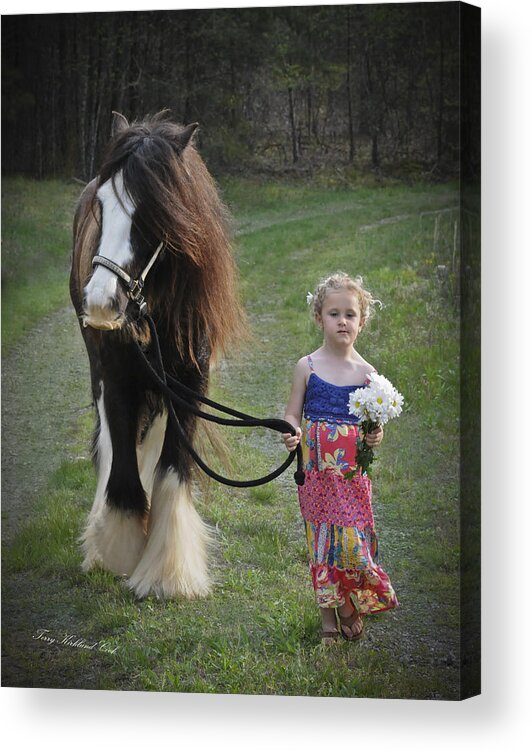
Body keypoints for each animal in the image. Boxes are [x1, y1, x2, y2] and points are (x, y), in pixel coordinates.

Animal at [69, 111, 244, 600]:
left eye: (152, 212)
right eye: (103, 204)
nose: (101, 302)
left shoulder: (189, 384)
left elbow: (171, 466)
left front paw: (167, 572)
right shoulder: (116, 378)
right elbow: (123, 466)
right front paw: (117, 550)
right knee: (112, 443)